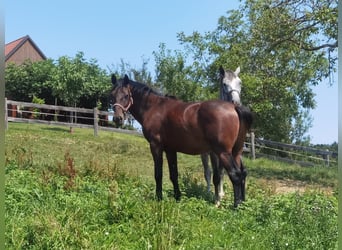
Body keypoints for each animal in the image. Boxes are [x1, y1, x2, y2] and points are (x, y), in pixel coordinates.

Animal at [111, 74, 252, 207]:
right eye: (112, 95)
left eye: (126, 95)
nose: (117, 118)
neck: (154, 108)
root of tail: (234, 108)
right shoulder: (170, 149)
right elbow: (174, 174)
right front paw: (177, 197)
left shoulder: (156, 146)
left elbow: (158, 174)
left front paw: (159, 198)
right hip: (236, 152)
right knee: (242, 173)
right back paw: (242, 204)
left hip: (223, 152)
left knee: (235, 175)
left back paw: (236, 206)